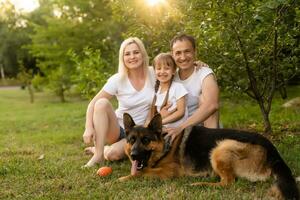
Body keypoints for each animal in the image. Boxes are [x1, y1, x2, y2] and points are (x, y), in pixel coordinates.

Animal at [120, 113, 300, 199]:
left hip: (220, 147)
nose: (134, 155)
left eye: (145, 140)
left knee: (228, 182)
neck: (165, 145)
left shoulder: (169, 172)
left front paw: (122, 178)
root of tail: (272, 150)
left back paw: (200, 184)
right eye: (132, 140)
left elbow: (141, 173)